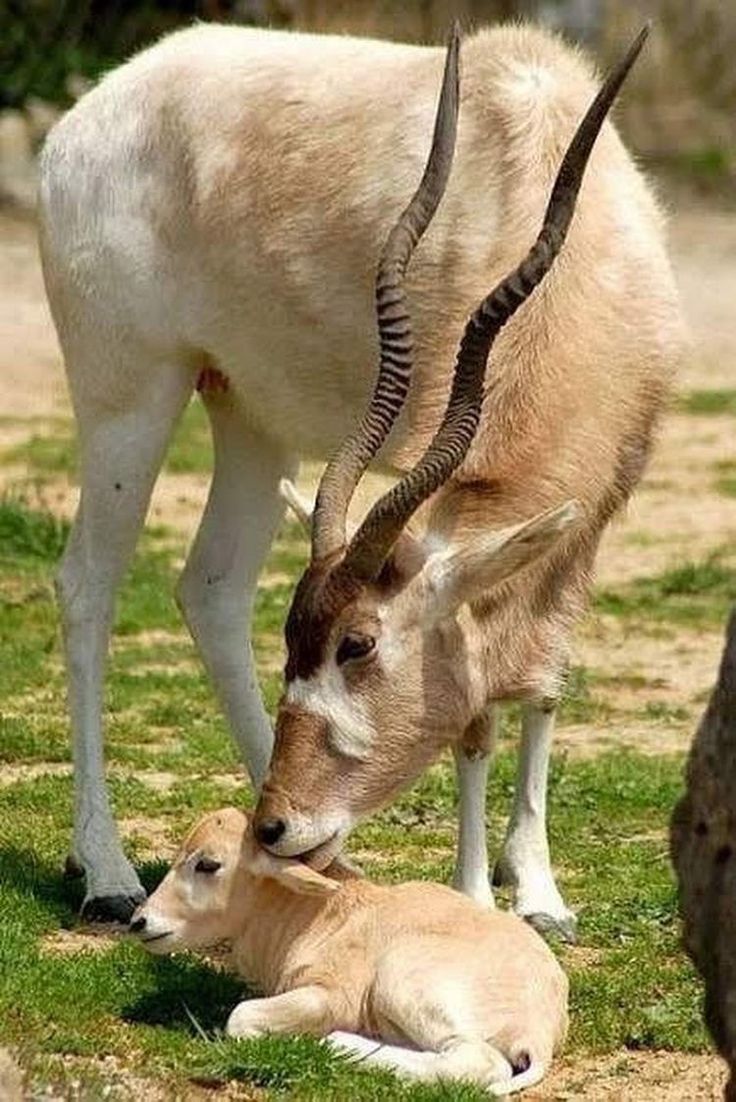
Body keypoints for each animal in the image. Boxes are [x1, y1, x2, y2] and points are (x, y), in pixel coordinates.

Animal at [40, 19, 683, 930]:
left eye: (354, 645)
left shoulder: (594, 511)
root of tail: (94, 110)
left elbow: (544, 687)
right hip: (130, 395)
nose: (279, 823)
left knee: (212, 587)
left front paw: (539, 889)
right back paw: (108, 869)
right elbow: (476, 723)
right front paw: (475, 894)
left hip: (248, 411)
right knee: (88, 588)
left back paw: (309, 851)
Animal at [130, 811, 568, 1093]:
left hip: (405, 982)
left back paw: (340, 1041)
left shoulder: (329, 995)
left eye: (208, 864)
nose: (140, 922)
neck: (317, 913)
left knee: (478, 1061)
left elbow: (241, 1018)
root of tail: (539, 1030)